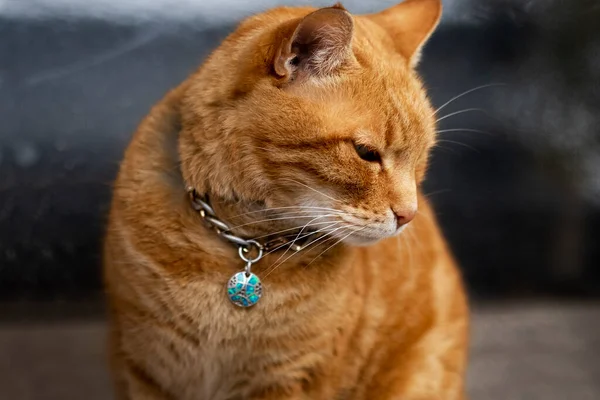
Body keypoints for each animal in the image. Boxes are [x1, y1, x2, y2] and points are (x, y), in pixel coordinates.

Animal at [103, 1, 468, 398]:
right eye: (366, 153)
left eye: (421, 159)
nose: (408, 215)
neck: (244, 239)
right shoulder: (144, 365)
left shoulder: (294, 377)